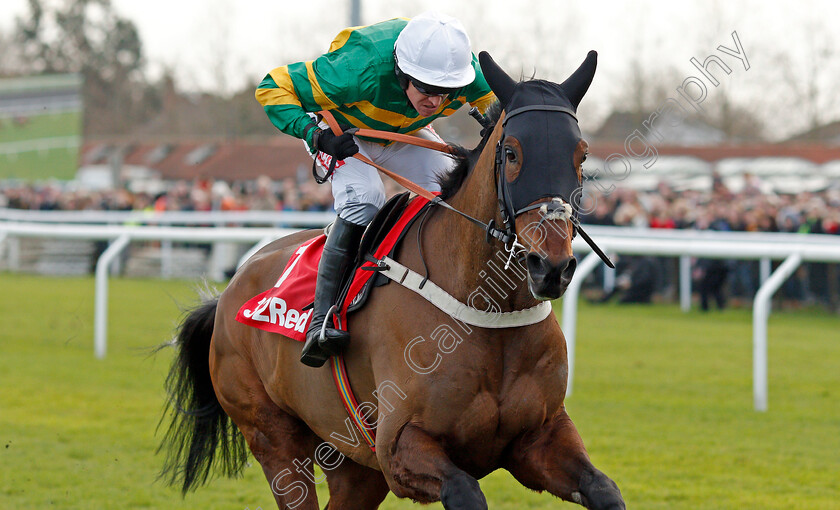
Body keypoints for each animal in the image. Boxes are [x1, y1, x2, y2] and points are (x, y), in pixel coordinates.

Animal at [159, 48, 624, 510]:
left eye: (582, 156)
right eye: (511, 153)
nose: (552, 267)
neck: (486, 310)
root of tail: (228, 292)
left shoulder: (540, 437)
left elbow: (605, 490)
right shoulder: (399, 444)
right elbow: (465, 491)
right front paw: (328, 140)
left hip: (352, 462)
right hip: (274, 437)